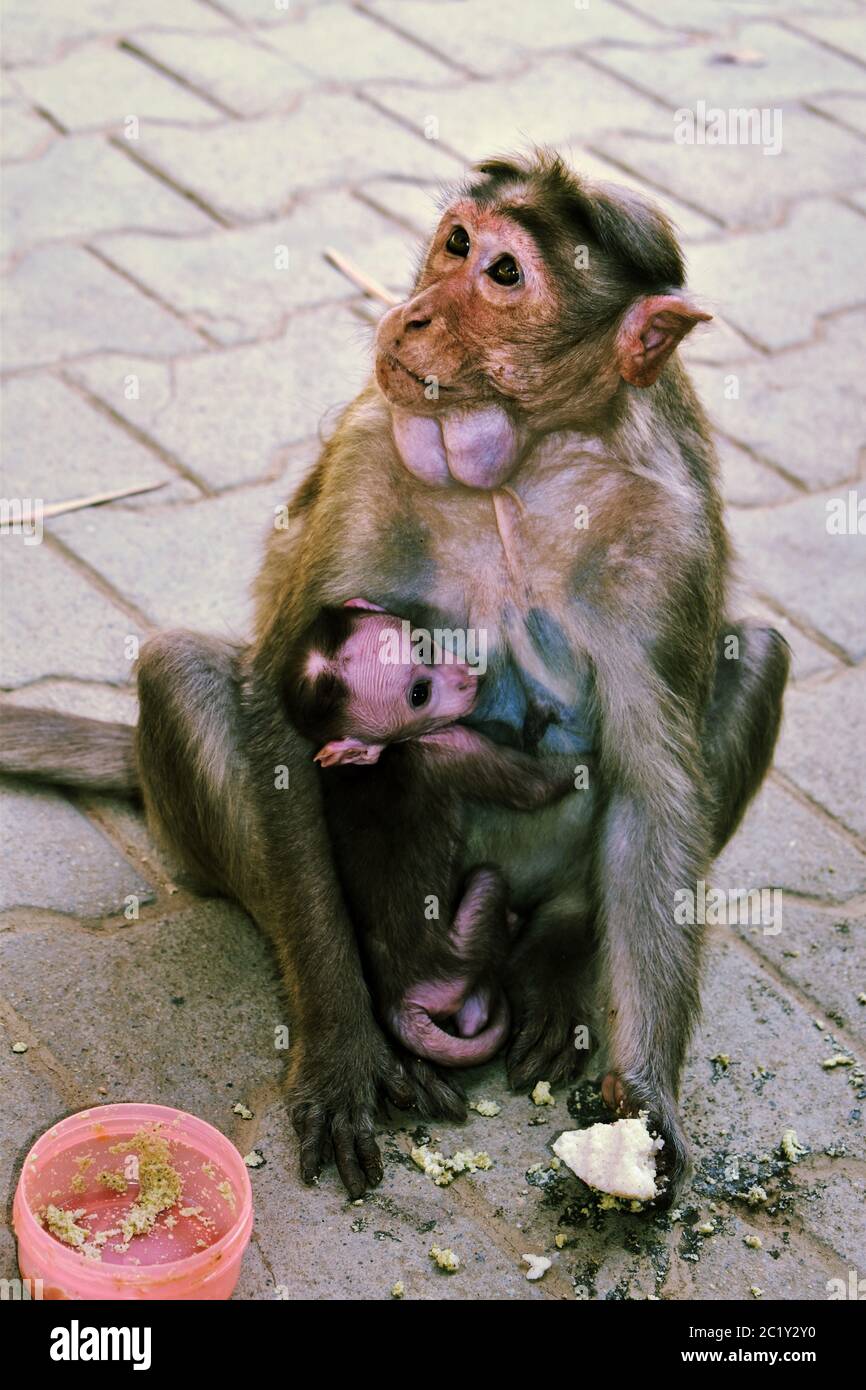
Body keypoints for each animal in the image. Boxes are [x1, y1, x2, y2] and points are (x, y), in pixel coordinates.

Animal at [284, 597, 575, 1061]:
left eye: (422, 640)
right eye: (419, 695)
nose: (468, 676)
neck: (387, 753)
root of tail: (398, 999)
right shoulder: (445, 746)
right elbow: (534, 789)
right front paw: (588, 763)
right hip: (455, 965)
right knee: (487, 882)